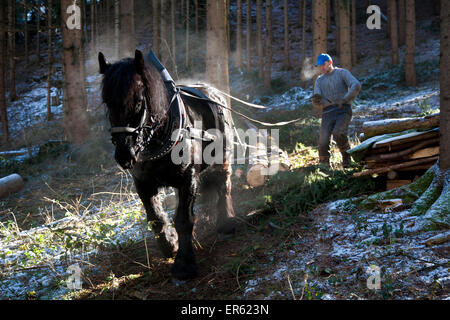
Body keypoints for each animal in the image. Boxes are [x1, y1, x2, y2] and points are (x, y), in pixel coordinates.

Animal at [98, 48, 236, 278]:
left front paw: (184, 264)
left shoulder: (188, 178)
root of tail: (212, 91)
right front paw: (170, 244)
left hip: (222, 158)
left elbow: (184, 219)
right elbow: (155, 218)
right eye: (107, 103)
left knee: (223, 185)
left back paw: (226, 220)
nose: (124, 155)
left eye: (138, 102)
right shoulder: (143, 182)